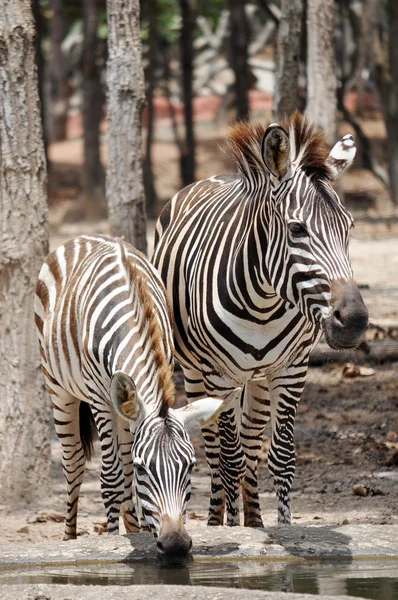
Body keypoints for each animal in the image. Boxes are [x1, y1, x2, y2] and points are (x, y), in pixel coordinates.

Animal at [35, 236, 232, 568]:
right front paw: (110, 539)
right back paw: (70, 539)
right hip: (58, 388)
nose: (176, 546)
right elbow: (112, 478)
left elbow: (126, 477)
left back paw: (133, 526)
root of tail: (82, 238)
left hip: (123, 411)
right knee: (74, 462)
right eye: (144, 469)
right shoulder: (99, 398)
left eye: (191, 467)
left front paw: (136, 532)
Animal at [152, 115, 366, 528]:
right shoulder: (219, 375)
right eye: (297, 229)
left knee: (252, 443)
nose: (354, 321)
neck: (263, 303)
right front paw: (231, 529)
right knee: (216, 452)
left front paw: (282, 528)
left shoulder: (291, 369)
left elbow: (281, 457)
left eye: (349, 227)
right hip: (196, 372)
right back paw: (219, 520)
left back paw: (254, 520)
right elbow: (229, 459)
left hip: (259, 378)